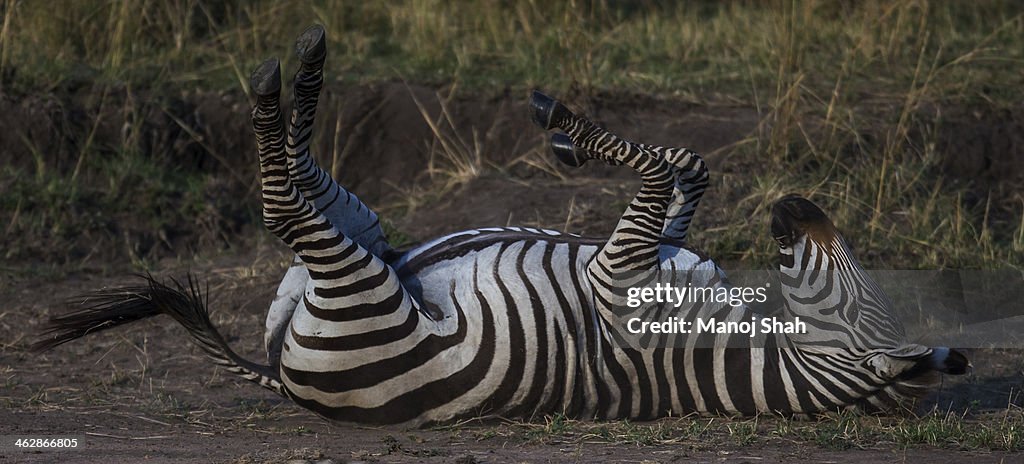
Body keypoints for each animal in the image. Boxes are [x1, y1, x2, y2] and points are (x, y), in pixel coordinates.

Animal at [36, 24, 966, 424]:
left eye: (856, 295)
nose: (796, 207)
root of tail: (283, 377)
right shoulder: (653, 251)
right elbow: (688, 169)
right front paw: (567, 134)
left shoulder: (617, 278)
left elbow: (661, 169)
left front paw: (570, 126)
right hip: (373, 239)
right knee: (306, 177)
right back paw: (304, 62)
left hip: (357, 283)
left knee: (283, 203)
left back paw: (277, 80)